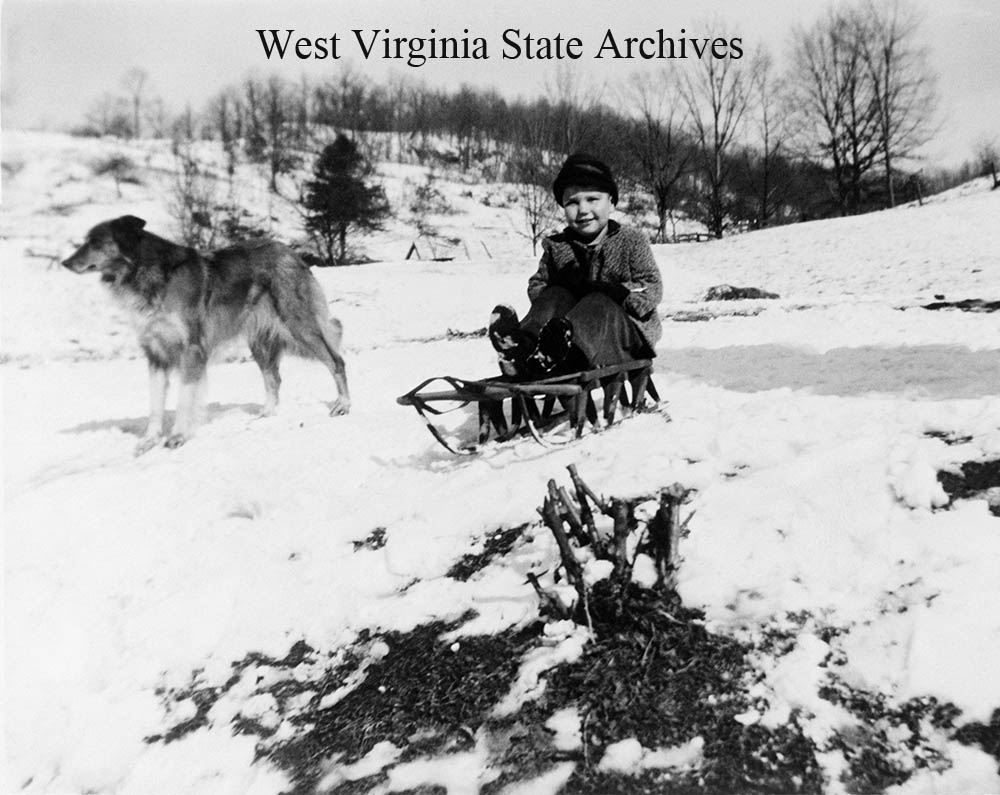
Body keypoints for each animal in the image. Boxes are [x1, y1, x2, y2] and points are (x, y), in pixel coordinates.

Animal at [62, 216, 350, 454]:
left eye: (96, 242)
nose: (64, 263)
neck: (148, 274)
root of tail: (290, 252)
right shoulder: (156, 354)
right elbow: (155, 404)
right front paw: (149, 441)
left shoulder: (191, 350)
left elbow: (183, 398)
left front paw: (178, 436)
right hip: (259, 341)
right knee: (274, 378)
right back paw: (266, 413)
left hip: (299, 326)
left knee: (336, 360)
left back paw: (343, 405)